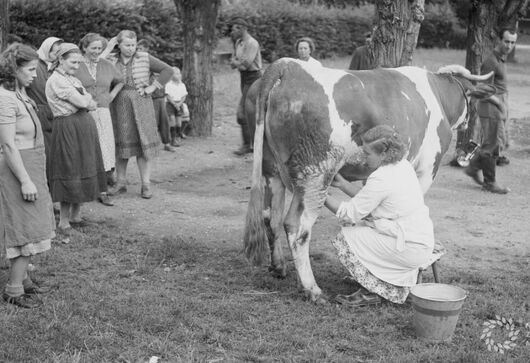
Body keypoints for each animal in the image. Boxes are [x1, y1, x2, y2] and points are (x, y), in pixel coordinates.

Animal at [244, 59, 496, 304]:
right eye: (474, 103)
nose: (472, 143)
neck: (438, 94)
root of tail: (286, 66)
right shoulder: (427, 167)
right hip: (316, 173)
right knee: (297, 227)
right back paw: (312, 289)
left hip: (273, 171)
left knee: (271, 218)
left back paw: (279, 267)